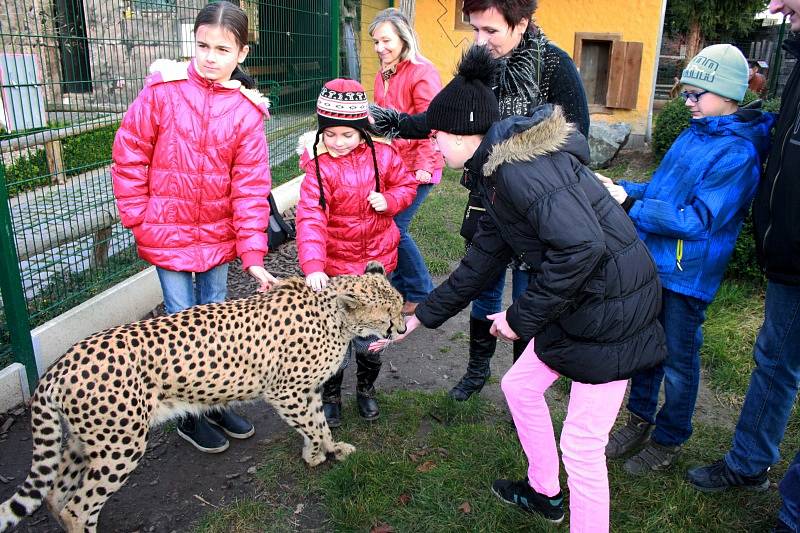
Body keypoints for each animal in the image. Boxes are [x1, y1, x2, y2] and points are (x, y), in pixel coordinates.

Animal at [0, 260, 404, 532]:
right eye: (389, 313)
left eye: (400, 304)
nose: (401, 328)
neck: (335, 316)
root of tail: (60, 363)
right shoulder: (284, 391)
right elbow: (315, 425)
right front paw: (323, 453)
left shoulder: (303, 391)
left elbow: (317, 423)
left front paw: (322, 452)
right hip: (120, 445)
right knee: (79, 507)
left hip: (85, 441)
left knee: (55, 495)